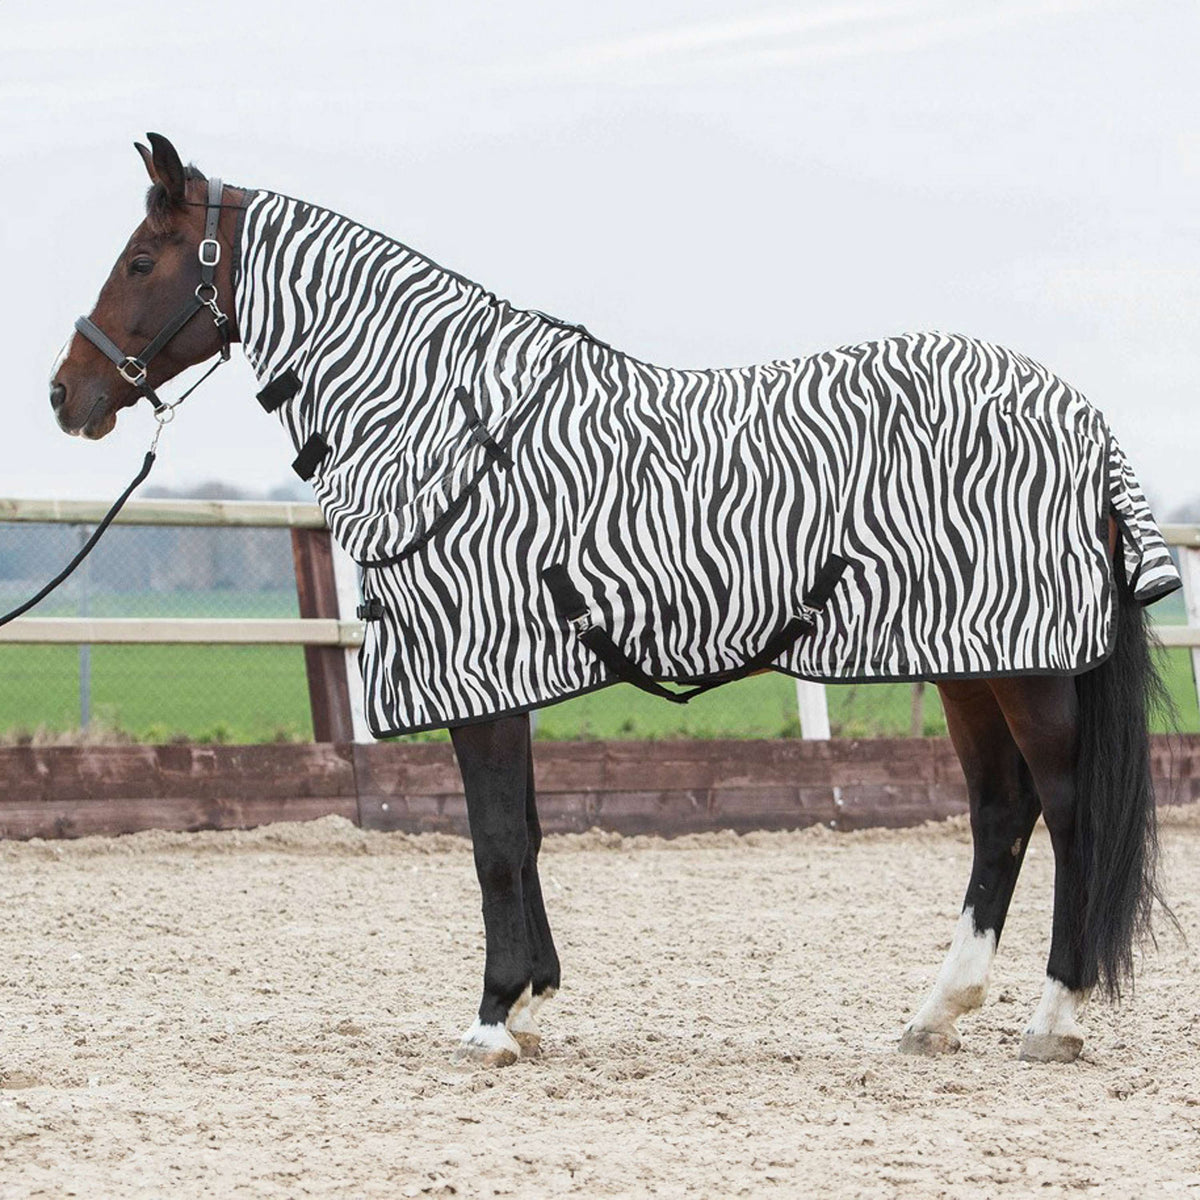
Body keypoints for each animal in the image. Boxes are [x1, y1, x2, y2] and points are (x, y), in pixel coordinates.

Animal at [51, 133, 1176, 1070]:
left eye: (142, 261)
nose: (67, 395)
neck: (446, 420)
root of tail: (1083, 416)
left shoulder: (478, 671)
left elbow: (497, 842)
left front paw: (493, 1018)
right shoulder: (498, 677)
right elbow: (526, 831)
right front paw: (532, 999)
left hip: (1027, 670)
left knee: (1068, 811)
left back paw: (1055, 1017)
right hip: (968, 663)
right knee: (1001, 813)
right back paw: (938, 1012)